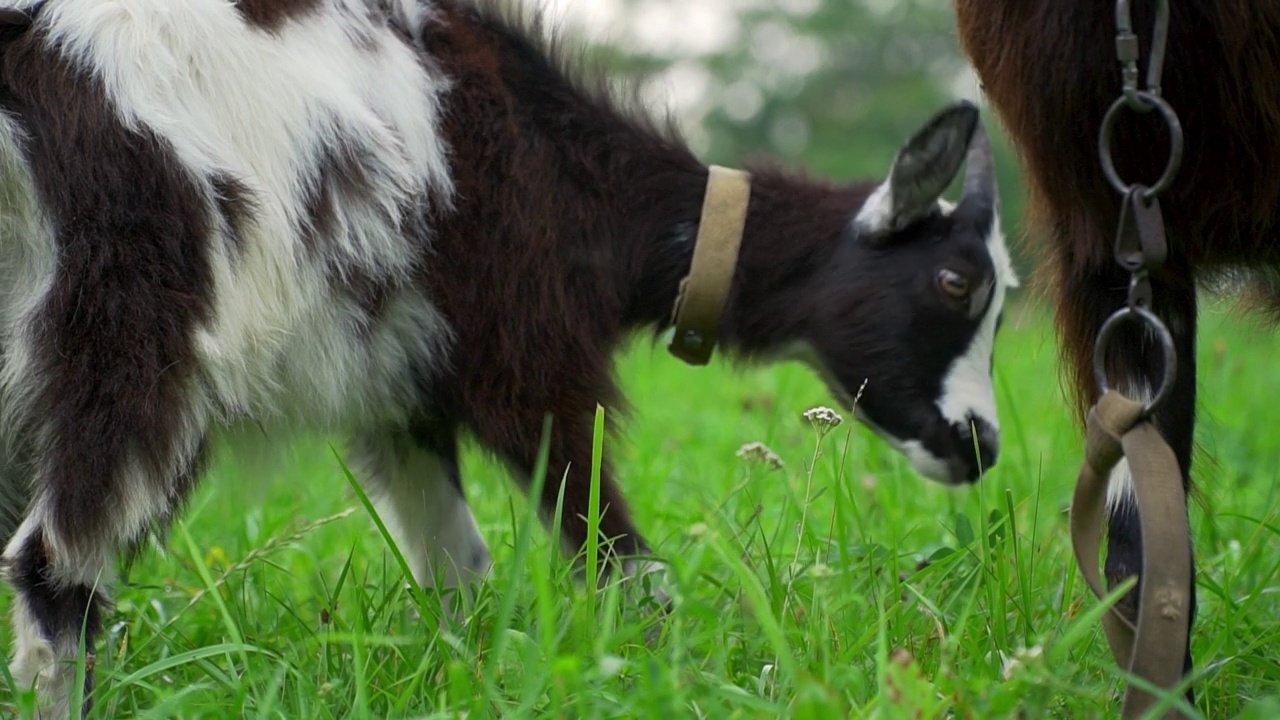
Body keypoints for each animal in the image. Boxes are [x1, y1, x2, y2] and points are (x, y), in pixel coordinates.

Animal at [0, 1, 1018, 712]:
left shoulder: (402, 395)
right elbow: (623, 561)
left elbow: (457, 569)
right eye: (955, 284)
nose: (981, 447)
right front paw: (672, 672)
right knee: (55, 571)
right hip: (136, 324)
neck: (565, 178)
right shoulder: (530, 361)